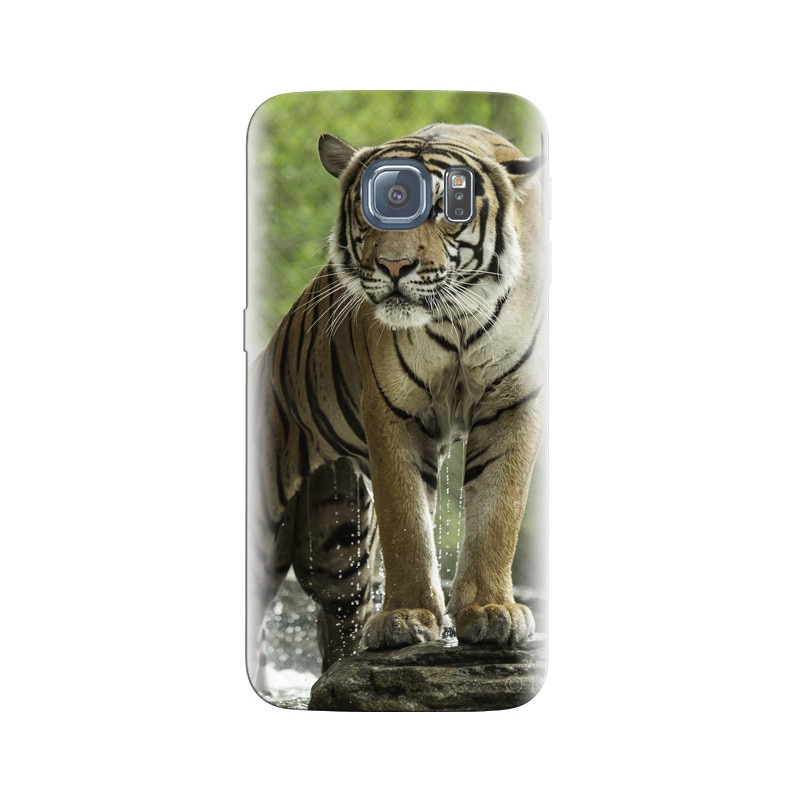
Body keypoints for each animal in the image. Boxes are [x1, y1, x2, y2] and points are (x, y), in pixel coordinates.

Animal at [247, 123, 546, 694]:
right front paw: (408, 619)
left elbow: (498, 510)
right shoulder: (393, 412)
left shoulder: (512, 402)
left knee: (339, 621)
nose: (393, 266)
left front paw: (490, 611)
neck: (458, 317)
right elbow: (407, 522)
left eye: (446, 208)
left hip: (338, 543)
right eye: (377, 207)